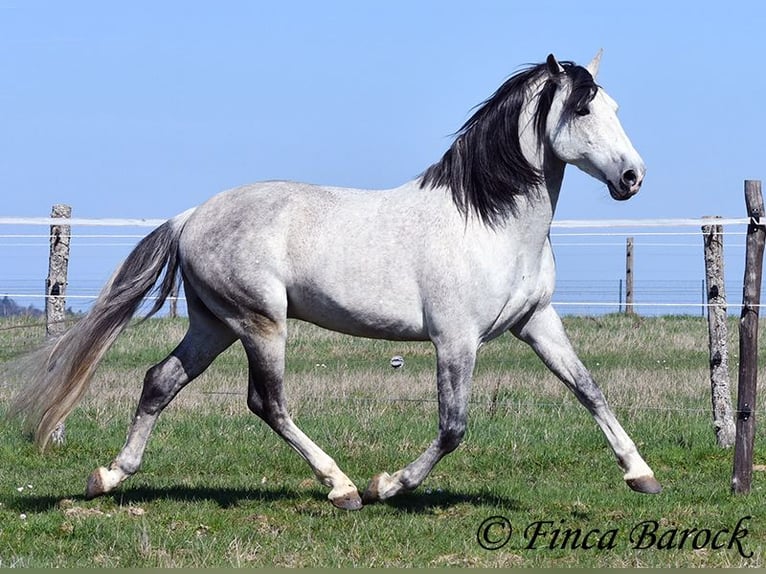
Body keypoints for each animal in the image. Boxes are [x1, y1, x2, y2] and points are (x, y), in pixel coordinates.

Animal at [7, 52, 661, 510]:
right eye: (582, 110)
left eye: (616, 108)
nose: (632, 177)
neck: (488, 221)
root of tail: (192, 216)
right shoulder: (455, 340)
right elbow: (453, 427)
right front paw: (387, 485)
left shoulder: (536, 322)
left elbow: (589, 389)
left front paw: (641, 475)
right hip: (260, 324)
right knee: (266, 402)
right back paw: (342, 487)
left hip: (214, 324)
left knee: (159, 382)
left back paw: (108, 477)